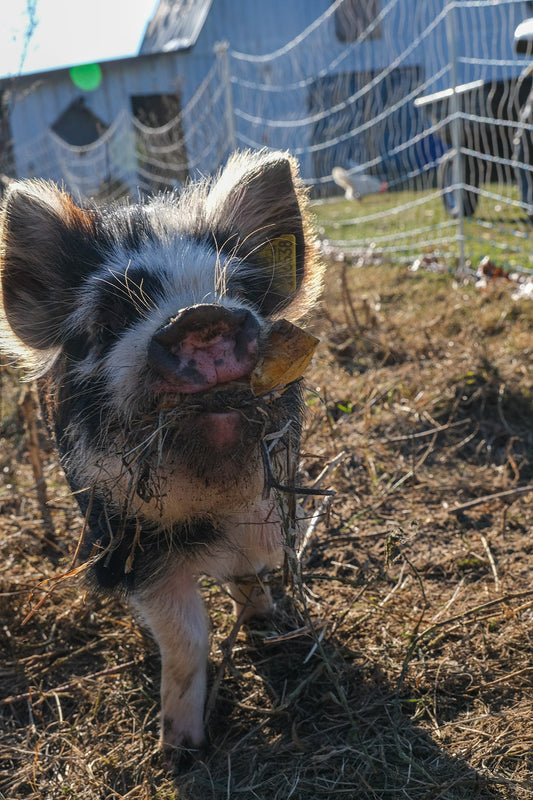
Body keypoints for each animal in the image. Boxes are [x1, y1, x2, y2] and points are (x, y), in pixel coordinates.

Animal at [0, 147, 322, 764]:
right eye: (108, 322)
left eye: (239, 293)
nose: (200, 314)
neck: (211, 502)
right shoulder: (130, 542)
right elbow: (186, 638)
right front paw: (180, 752)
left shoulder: (266, 507)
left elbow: (251, 572)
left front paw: (269, 623)